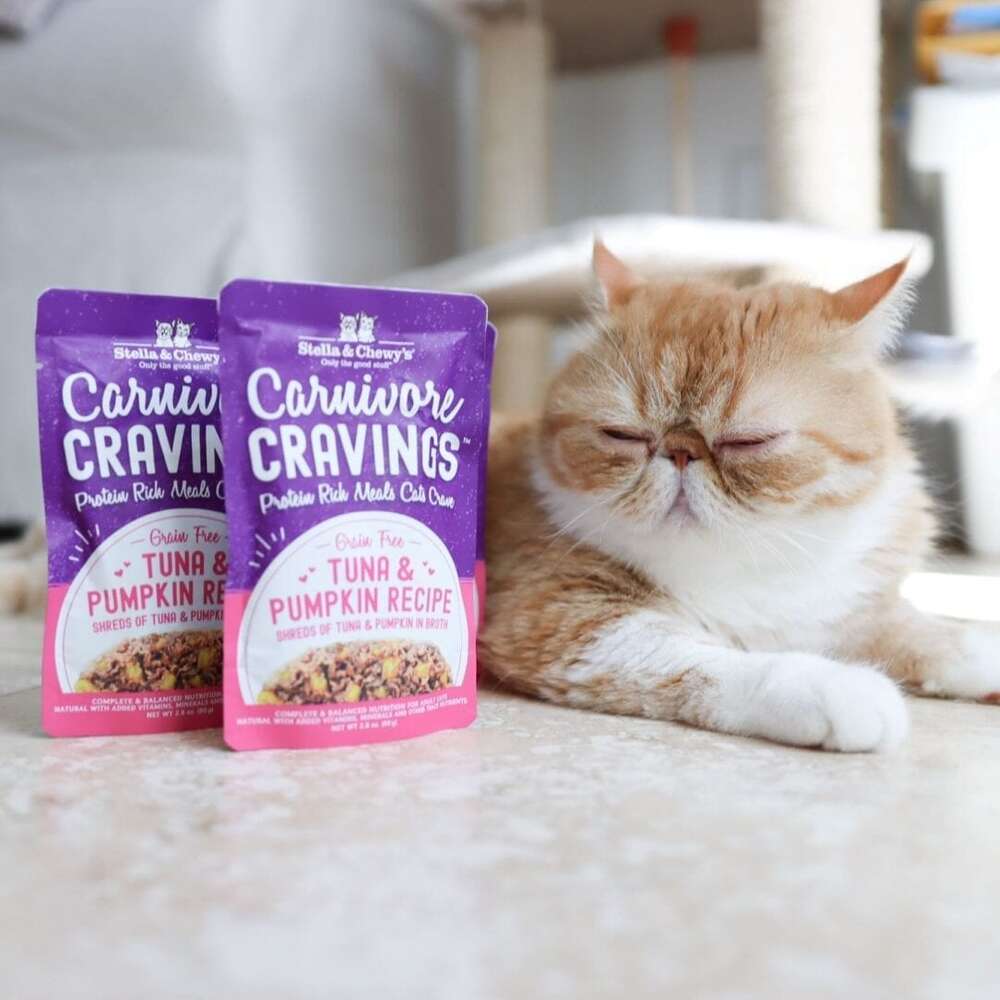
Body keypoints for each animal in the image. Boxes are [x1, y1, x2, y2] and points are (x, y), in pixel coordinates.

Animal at [479, 240, 1000, 752]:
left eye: (749, 441)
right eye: (623, 435)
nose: (681, 450)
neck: (745, 571)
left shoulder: (845, 603)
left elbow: (922, 629)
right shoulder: (559, 618)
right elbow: (706, 658)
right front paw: (832, 685)